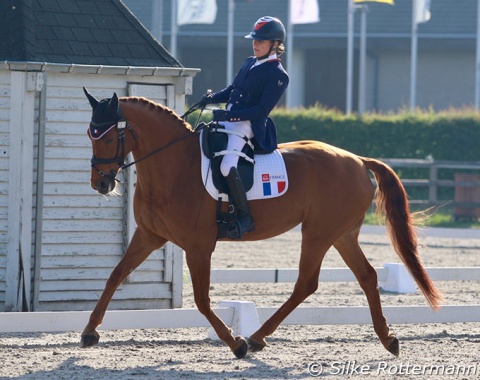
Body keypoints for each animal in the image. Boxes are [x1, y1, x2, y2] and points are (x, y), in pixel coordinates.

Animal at [81, 89, 442, 360]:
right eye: (90, 134)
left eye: (108, 137)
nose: (100, 184)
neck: (175, 166)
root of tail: (357, 160)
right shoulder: (149, 235)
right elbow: (115, 275)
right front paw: (89, 332)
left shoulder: (199, 246)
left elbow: (202, 300)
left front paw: (235, 344)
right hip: (343, 234)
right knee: (366, 276)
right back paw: (388, 339)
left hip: (318, 233)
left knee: (306, 283)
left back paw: (254, 338)